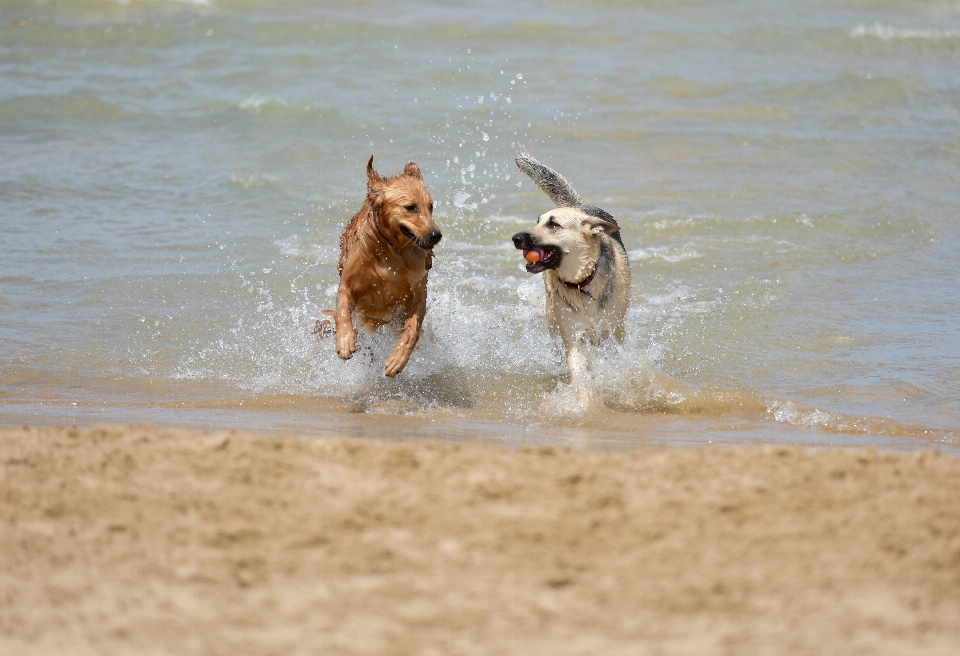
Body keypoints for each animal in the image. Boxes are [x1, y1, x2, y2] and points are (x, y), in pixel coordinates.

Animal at [322, 156, 442, 376]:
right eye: (411, 207)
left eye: (430, 207)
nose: (436, 235)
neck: (392, 251)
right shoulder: (348, 285)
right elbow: (342, 310)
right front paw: (345, 341)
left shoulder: (418, 295)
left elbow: (412, 329)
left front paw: (398, 358)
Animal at [510, 152, 632, 380]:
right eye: (537, 222)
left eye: (553, 225)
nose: (516, 238)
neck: (582, 281)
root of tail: (578, 206)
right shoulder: (574, 337)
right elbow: (580, 373)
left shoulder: (611, 333)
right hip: (551, 315)